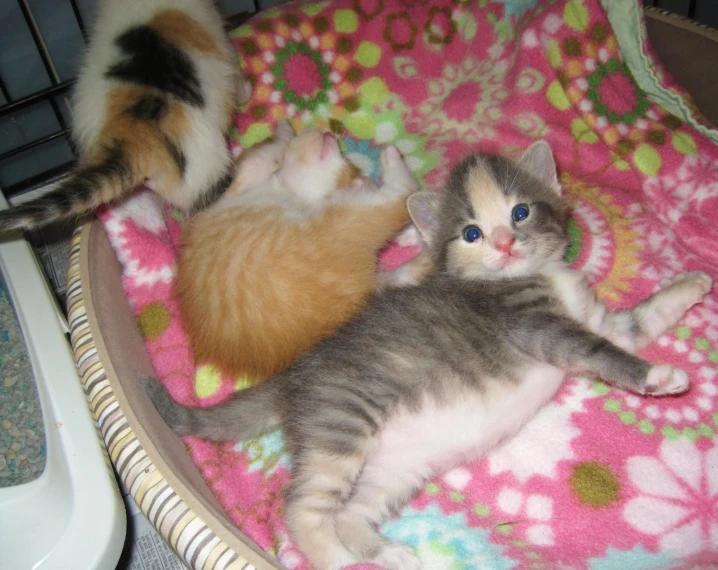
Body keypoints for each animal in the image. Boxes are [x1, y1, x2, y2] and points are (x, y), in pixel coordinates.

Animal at [178, 119, 430, 378]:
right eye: (349, 166)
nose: (328, 133)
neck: (292, 194)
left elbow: (261, 156)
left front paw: (284, 133)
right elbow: (263, 157)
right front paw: (287, 132)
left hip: (343, 224)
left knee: (401, 194)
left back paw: (392, 157)